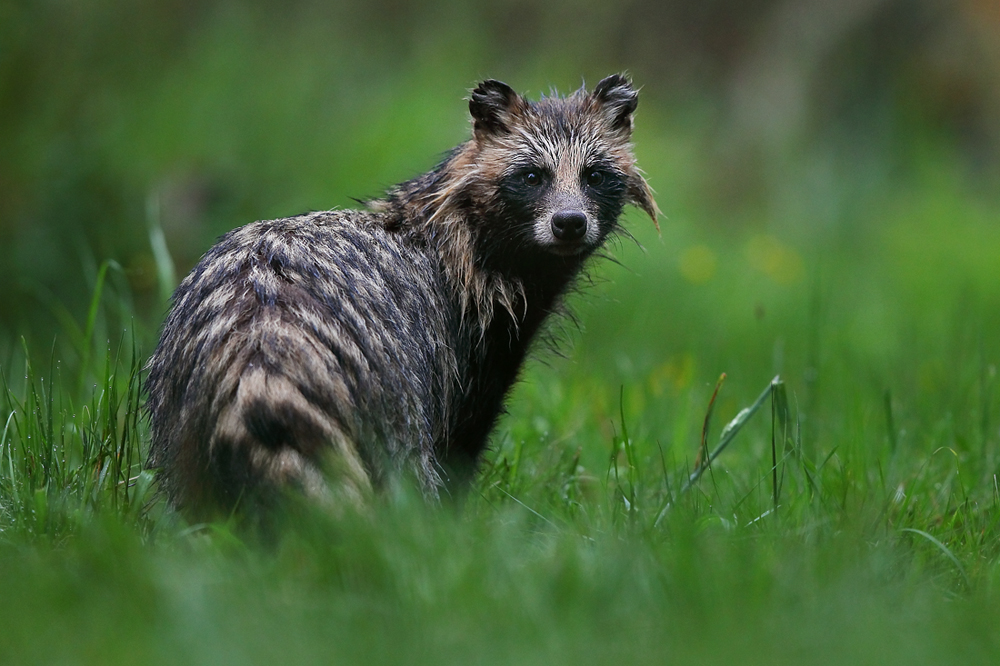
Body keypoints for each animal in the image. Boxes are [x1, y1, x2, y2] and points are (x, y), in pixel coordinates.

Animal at [143, 74, 656, 520]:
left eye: (593, 175)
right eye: (532, 176)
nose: (569, 223)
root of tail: (260, 346)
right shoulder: (464, 357)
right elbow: (456, 453)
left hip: (181, 418)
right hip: (389, 403)